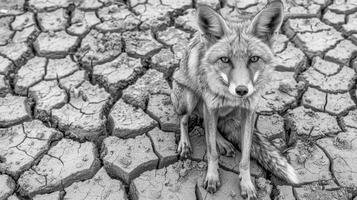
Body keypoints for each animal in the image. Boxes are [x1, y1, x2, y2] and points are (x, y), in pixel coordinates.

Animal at [170, 0, 298, 198]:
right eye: (225, 59)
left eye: (254, 59)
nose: (242, 90)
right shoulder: (210, 106)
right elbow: (211, 152)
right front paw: (212, 176)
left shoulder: (248, 112)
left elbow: (245, 157)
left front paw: (247, 184)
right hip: (188, 99)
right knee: (185, 120)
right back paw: (185, 143)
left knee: (210, 125)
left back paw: (223, 142)